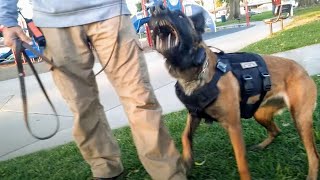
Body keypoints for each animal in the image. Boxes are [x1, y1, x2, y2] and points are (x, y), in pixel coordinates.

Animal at [149, 4, 318, 179]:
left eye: (180, 15)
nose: (155, 8)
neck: (194, 72)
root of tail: (303, 70)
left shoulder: (234, 125)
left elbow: (241, 162)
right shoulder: (194, 114)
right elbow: (185, 136)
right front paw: (187, 161)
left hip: (300, 119)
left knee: (314, 155)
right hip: (260, 114)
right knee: (276, 131)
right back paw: (262, 145)